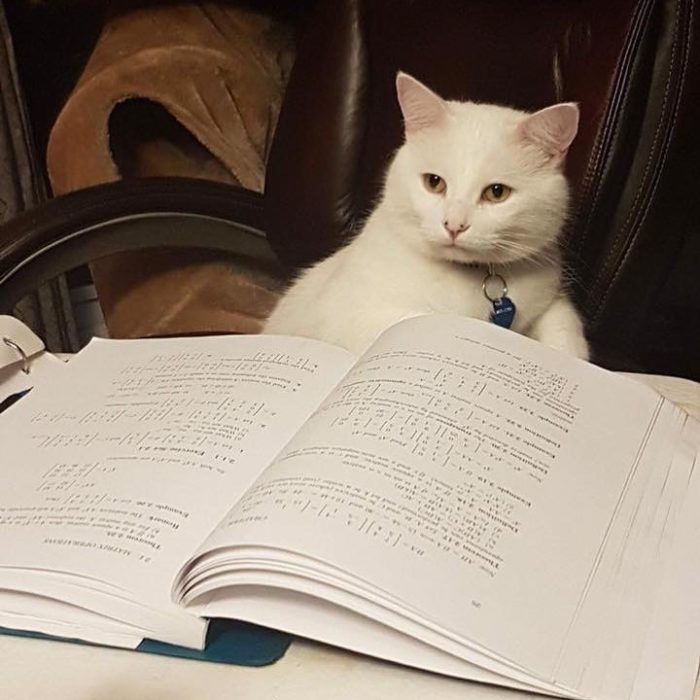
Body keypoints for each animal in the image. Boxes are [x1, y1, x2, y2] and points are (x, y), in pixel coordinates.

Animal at [266, 73, 588, 360]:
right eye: (434, 183)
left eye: (497, 192)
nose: (454, 225)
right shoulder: (348, 315)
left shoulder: (554, 302)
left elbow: (567, 335)